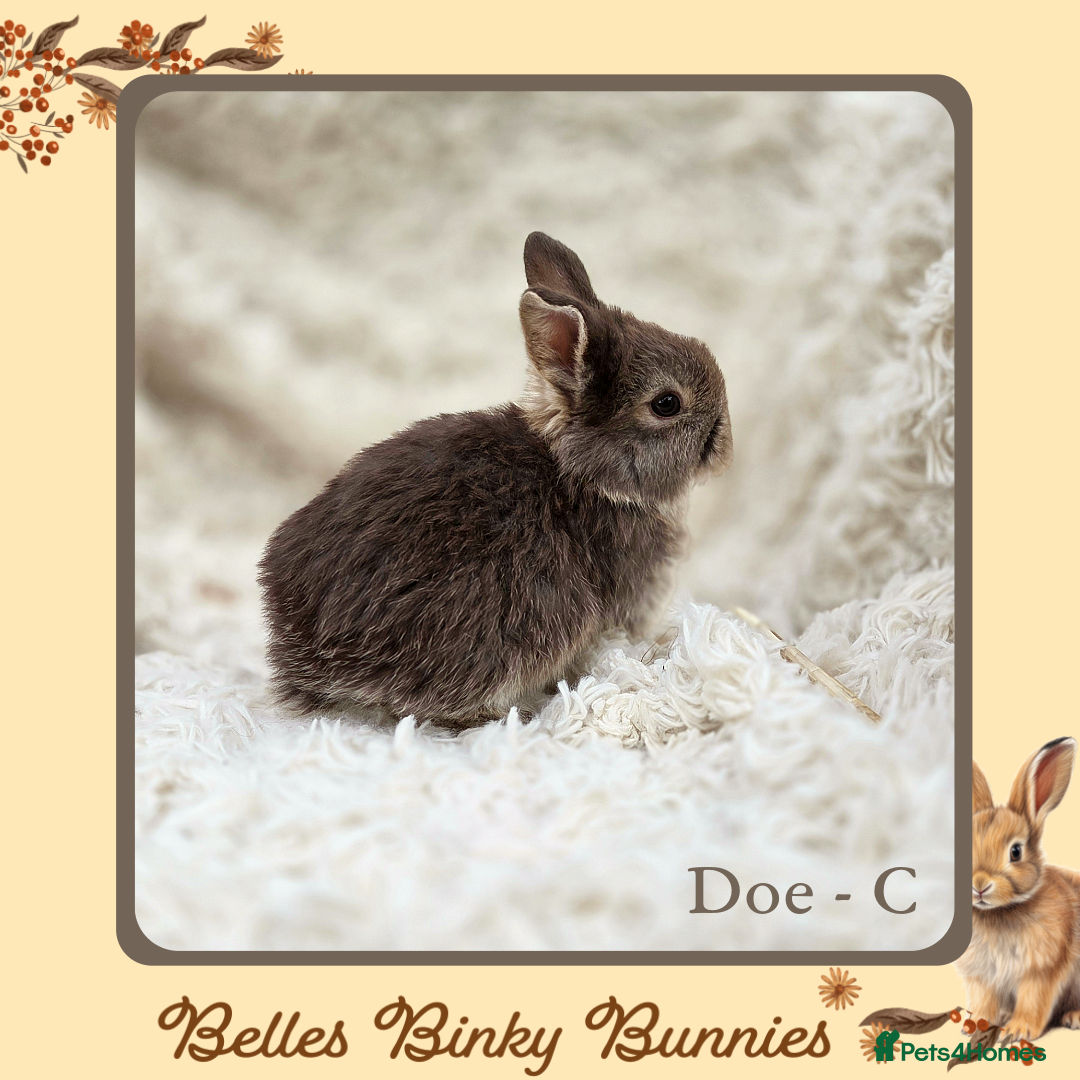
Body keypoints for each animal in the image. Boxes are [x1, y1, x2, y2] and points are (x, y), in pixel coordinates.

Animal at [956, 737, 1080, 1041]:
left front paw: (1016, 1032)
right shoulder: (983, 976)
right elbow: (984, 1001)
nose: (979, 885)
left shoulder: (1041, 971)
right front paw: (973, 1026)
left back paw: (1073, 1017)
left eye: (1015, 851)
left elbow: (1033, 1001)